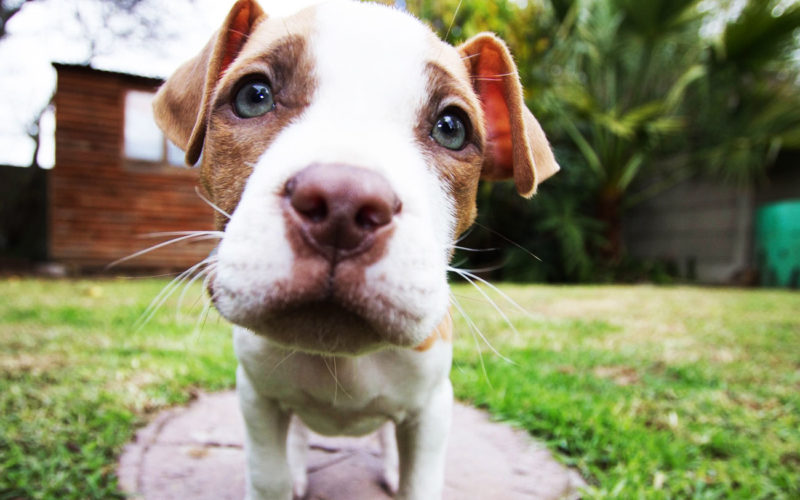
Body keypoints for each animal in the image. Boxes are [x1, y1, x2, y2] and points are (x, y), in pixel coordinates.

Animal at [153, 1, 560, 498]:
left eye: (451, 128)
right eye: (253, 96)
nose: (342, 204)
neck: (339, 358)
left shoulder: (431, 409)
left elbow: (419, 480)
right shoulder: (256, 396)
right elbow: (268, 476)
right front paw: (283, 475)